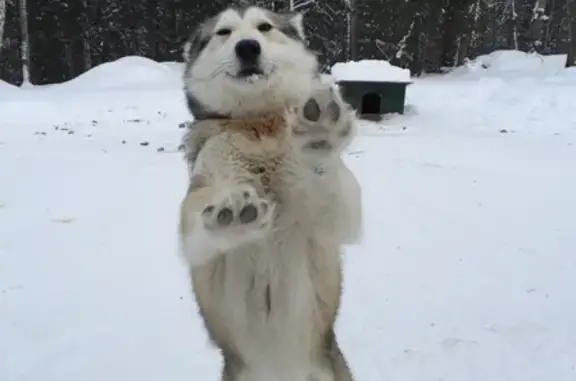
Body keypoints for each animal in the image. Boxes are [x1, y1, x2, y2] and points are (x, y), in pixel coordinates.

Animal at [178, 5, 362, 380]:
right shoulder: (200, 197)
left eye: (264, 27)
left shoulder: (334, 221)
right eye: (224, 32)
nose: (248, 47)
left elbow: (333, 190)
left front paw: (319, 138)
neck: (257, 125)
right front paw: (231, 215)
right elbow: (196, 230)